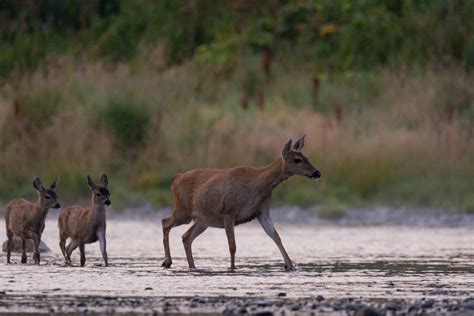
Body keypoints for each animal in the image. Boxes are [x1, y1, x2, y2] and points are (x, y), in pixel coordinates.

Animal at [161, 136, 320, 272]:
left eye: (307, 157)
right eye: (297, 160)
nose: (317, 173)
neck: (258, 186)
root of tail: (176, 178)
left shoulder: (262, 211)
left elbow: (276, 236)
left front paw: (290, 265)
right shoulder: (228, 211)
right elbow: (233, 246)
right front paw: (232, 269)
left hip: (203, 220)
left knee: (186, 236)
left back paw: (192, 267)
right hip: (183, 211)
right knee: (165, 222)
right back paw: (167, 262)